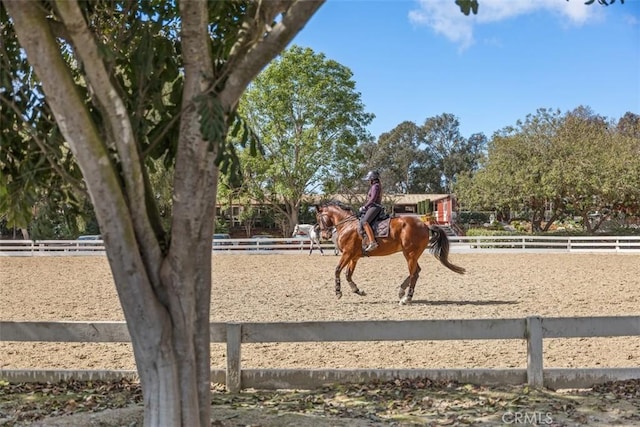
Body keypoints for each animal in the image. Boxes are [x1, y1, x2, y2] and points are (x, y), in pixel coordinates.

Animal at [316, 201, 464, 304]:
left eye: (319, 218)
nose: (324, 235)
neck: (347, 224)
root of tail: (425, 225)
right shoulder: (354, 257)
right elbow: (348, 274)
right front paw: (358, 290)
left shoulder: (347, 253)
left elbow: (337, 270)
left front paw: (338, 292)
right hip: (412, 255)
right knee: (417, 271)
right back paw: (401, 291)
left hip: (410, 254)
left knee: (414, 274)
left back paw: (407, 298)